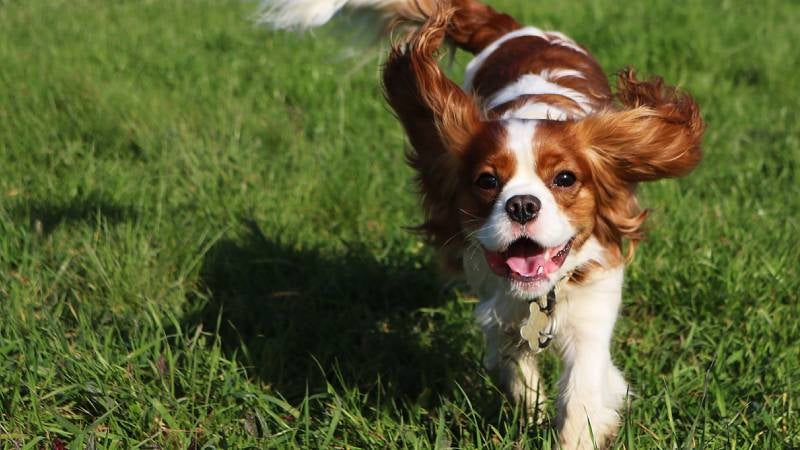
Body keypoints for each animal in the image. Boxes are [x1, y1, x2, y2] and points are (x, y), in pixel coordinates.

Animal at [260, 1, 704, 448]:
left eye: (565, 178)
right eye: (487, 181)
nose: (522, 205)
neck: (538, 295)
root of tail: (518, 30)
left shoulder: (593, 307)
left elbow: (581, 396)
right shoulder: (496, 306)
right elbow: (513, 365)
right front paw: (532, 415)